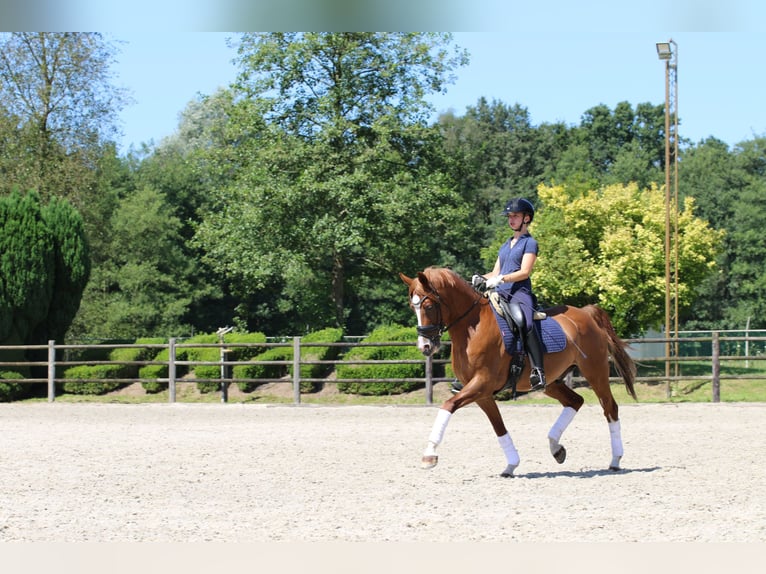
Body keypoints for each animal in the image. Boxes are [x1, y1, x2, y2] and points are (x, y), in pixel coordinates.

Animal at [400, 268, 640, 480]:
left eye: (428, 306)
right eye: (413, 308)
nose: (425, 347)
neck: (472, 327)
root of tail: (586, 313)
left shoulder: (482, 383)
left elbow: (447, 405)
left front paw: (429, 455)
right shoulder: (482, 393)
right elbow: (498, 427)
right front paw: (511, 464)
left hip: (595, 372)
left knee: (610, 408)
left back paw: (615, 460)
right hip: (552, 382)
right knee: (575, 401)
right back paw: (556, 447)